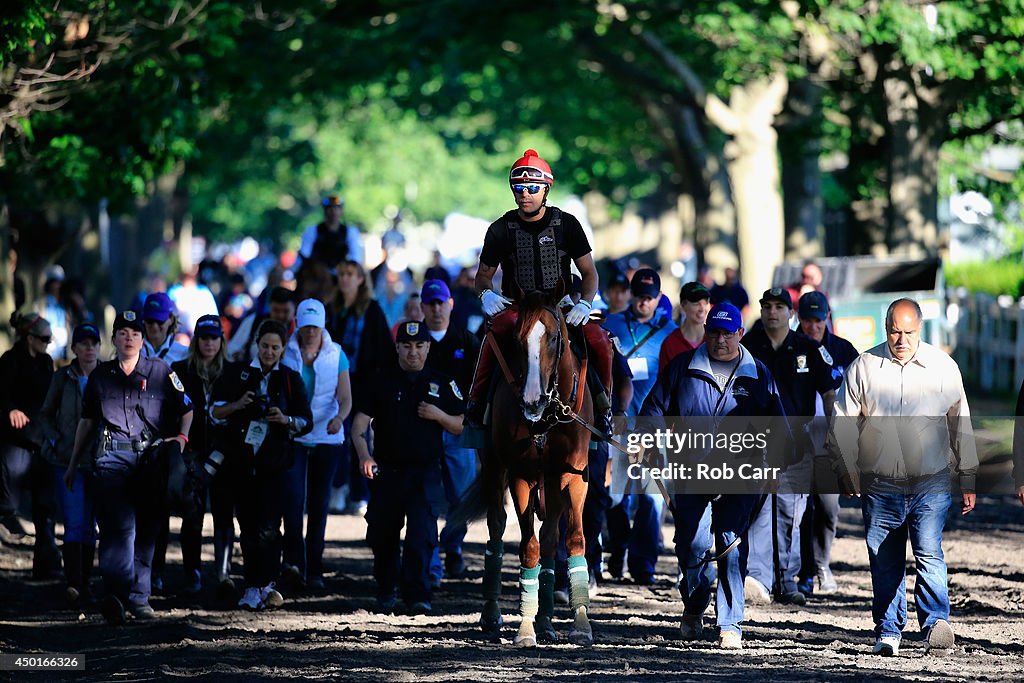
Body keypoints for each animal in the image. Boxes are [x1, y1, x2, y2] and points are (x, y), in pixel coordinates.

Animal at [473, 290, 593, 651]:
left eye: (553, 338)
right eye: (516, 339)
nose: (531, 401)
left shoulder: (573, 474)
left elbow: (572, 539)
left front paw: (578, 624)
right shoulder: (521, 474)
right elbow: (529, 547)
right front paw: (526, 628)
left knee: (552, 537)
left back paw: (548, 620)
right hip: (493, 466)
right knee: (497, 527)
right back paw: (492, 613)